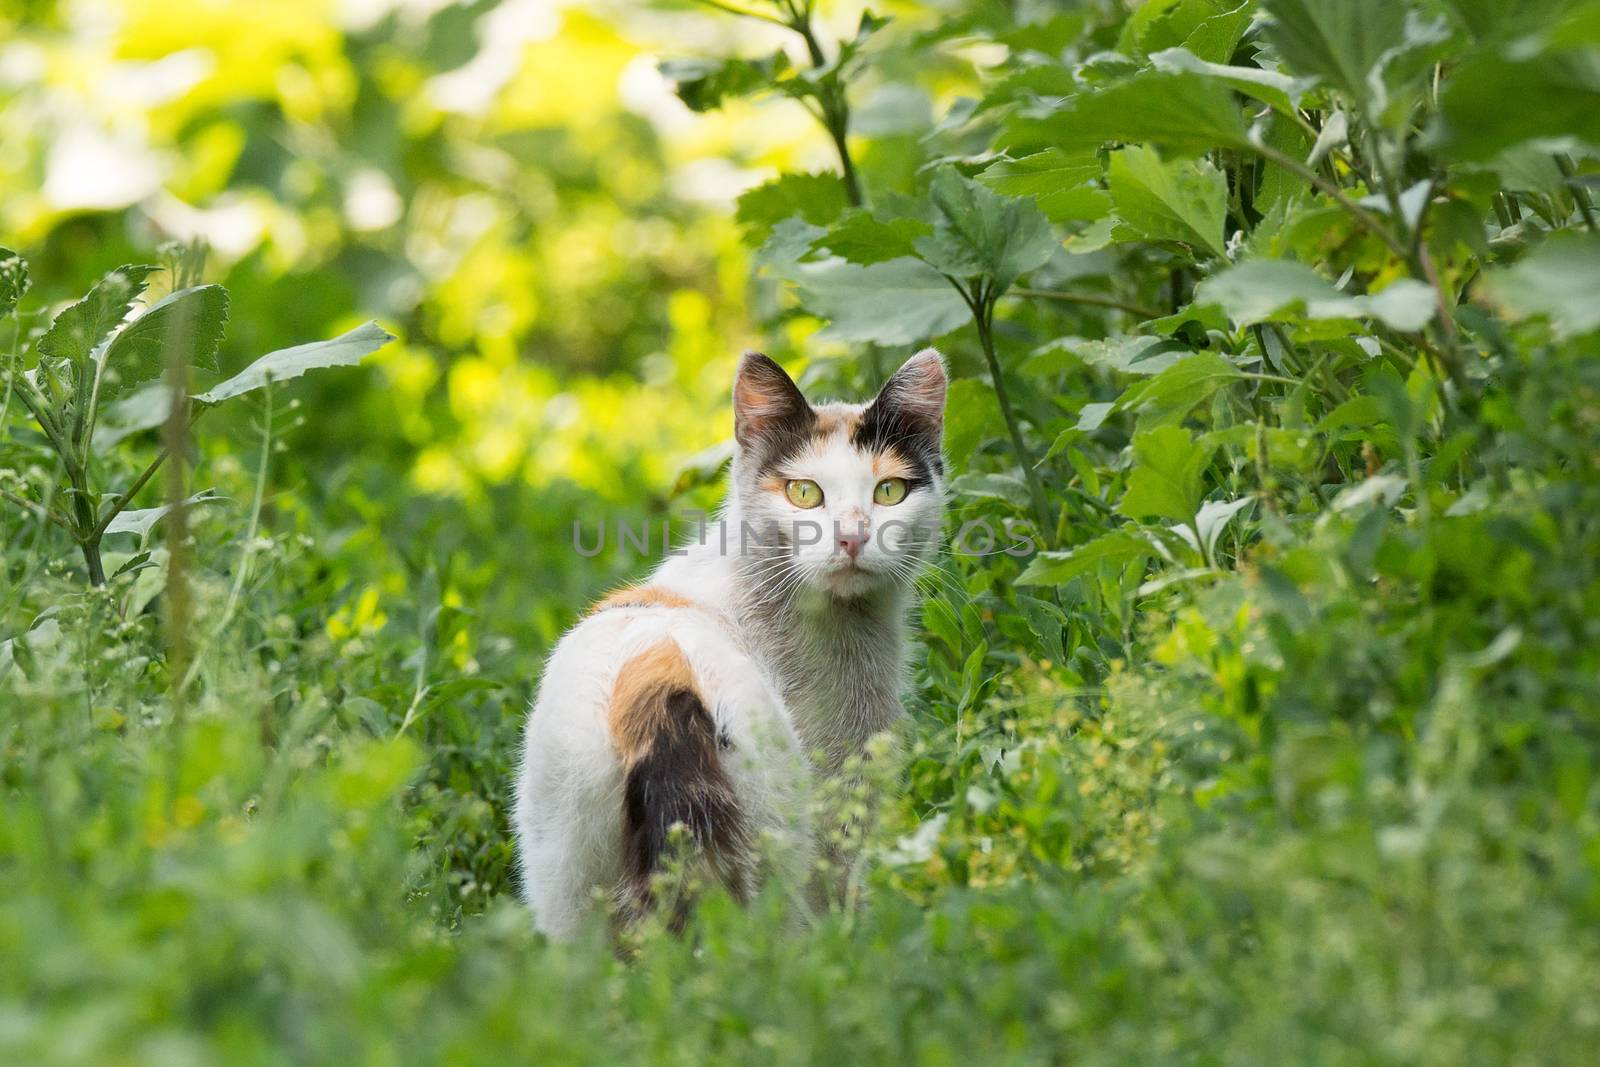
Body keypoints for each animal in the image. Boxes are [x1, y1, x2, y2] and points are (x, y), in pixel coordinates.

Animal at [512, 350, 940, 934]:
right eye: (804, 493)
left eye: (888, 491)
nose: (851, 537)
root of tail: (654, 665)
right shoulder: (842, 793)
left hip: (566, 881)